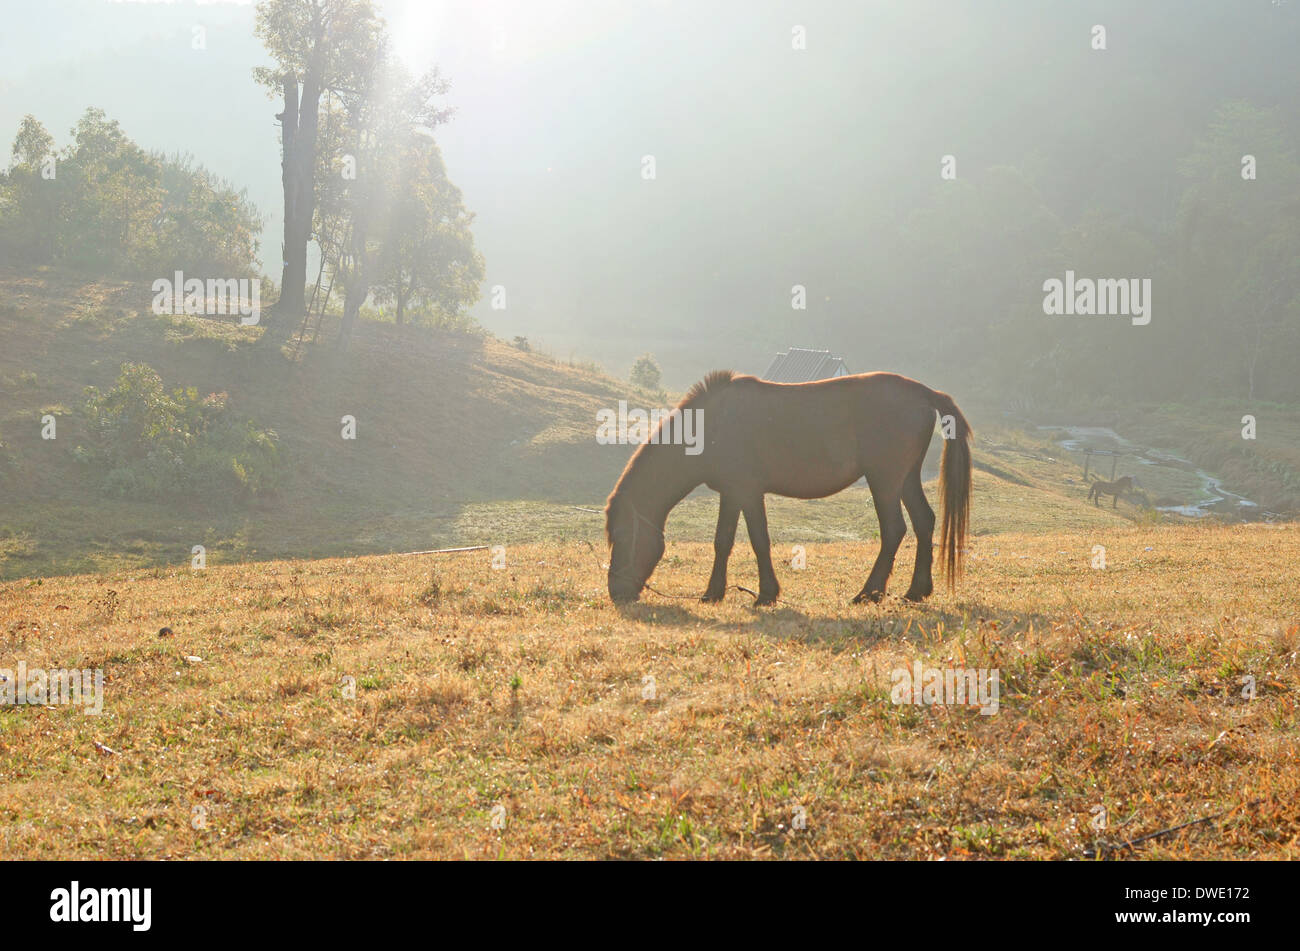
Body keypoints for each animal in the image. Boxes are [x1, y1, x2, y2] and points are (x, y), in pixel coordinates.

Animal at [603, 368, 972, 605]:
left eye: (621, 536)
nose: (616, 592)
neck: (714, 424)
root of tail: (924, 392)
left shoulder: (747, 492)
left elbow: (757, 541)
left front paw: (765, 594)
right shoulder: (732, 493)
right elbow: (724, 542)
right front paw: (715, 593)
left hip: (884, 480)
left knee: (894, 530)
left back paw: (869, 593)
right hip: (905, 479)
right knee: (924, 522)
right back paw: (916, 591)